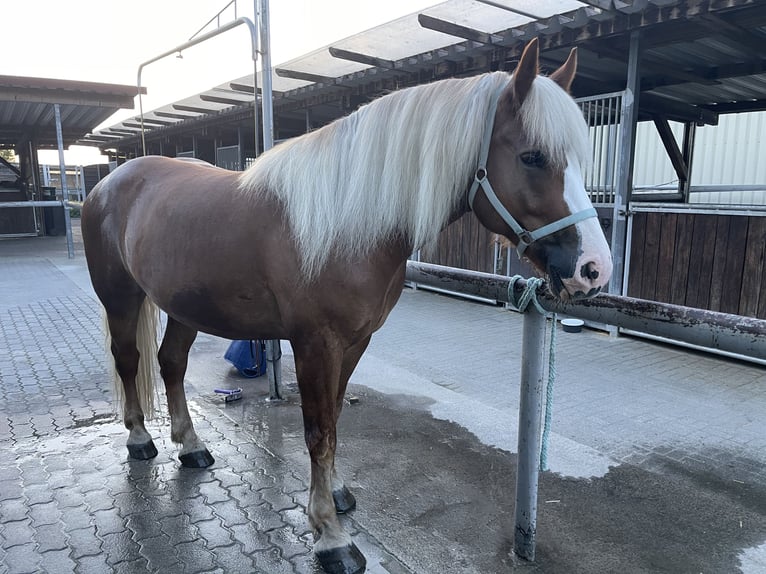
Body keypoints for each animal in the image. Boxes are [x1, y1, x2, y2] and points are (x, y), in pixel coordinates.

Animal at [81, 39, 612, 574]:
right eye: (532, 156)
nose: (594, 269)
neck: (347, 222)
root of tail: (110, 181)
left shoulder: (355, 341)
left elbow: (335, 417)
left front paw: (335, 494)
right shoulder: (316, 344)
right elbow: (319, 431)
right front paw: (330, 536)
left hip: (183, 306)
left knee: (171, 363)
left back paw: (191, 447)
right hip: (121, 297)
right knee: (129, 361)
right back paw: (140, 440)